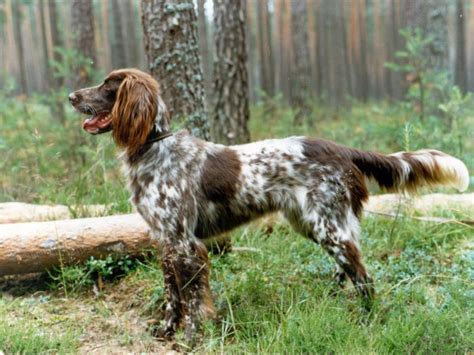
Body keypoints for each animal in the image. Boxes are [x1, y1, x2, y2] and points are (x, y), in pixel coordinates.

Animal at [68, 68, 468, 344]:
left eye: (107, 86)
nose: (71, 96)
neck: (153, 147)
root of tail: (342, 149)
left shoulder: (185, 244)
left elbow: (194, 299)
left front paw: (192, 339)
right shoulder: (165, 242)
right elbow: (173, 296)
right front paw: (167, 331)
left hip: (328, 227)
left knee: (364, 278)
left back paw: (367, 320)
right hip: (315, 224)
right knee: (348, 271)